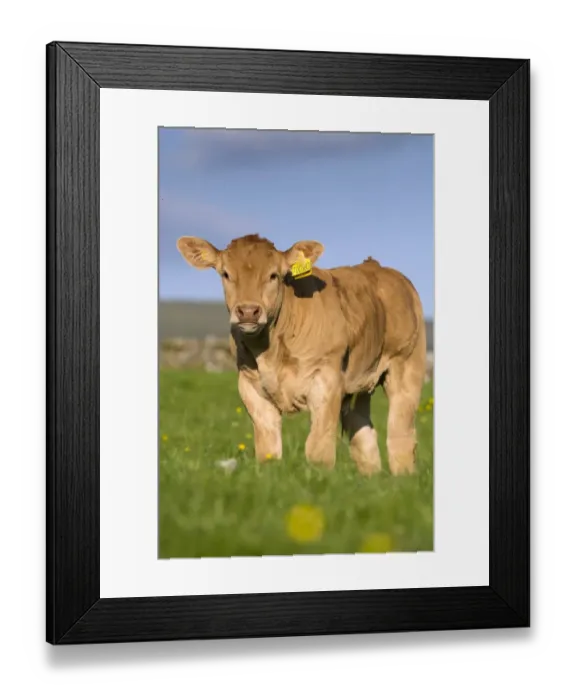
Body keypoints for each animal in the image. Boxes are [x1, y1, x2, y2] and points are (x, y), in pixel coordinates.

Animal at [177, 234, 427, 476]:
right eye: (226, 274)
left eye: (274, 275)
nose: (248, 311)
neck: (271, 352)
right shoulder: (250, 386)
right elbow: (268, 449)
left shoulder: (326, 381)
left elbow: (318, 450)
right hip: (361, 380)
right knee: (362, 431)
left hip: (407, 366)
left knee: (401, 433)